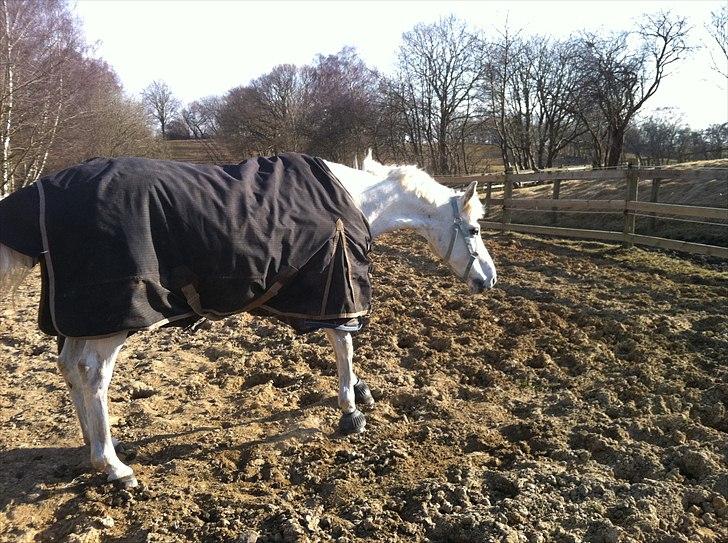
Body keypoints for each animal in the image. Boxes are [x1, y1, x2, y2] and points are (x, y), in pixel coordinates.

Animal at [0, 151, 497, 489]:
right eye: (473, 230)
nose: (489, 279)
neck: (352, 200)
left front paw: (361, 392)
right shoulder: (337, 287)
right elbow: (344, 344)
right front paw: (350, 409)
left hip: (78, 320)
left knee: (69, 367)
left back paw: (89, 448)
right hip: (114, 320)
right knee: (92, 375)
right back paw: (113, 464)